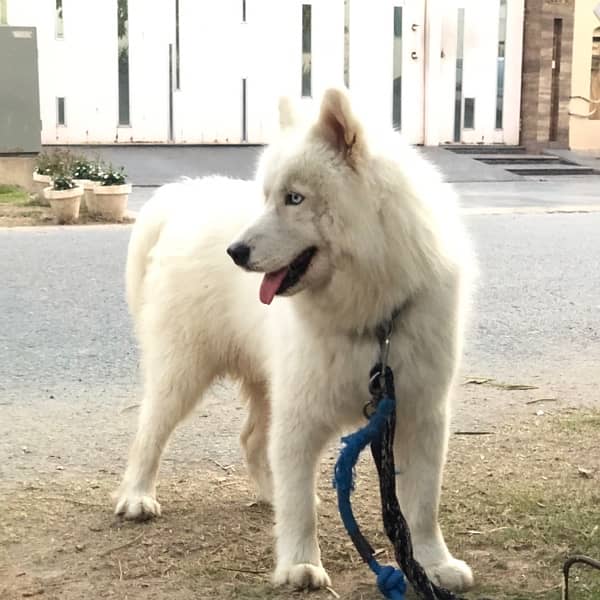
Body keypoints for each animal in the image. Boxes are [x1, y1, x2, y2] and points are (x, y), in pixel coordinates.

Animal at [115, 88, 476, 592]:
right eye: (268, 197)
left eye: (294, 198)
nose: (235, 252)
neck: (370, 312)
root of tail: (186, 199)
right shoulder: (300, 416)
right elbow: (299, 506)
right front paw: (299, 564)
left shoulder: (420, 415)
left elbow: (422, 507)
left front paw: (435, 565)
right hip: (182, 374)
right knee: (149, 433)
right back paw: (137, 497)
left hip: (267, 384)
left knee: (252, 441)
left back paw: (268, 495)